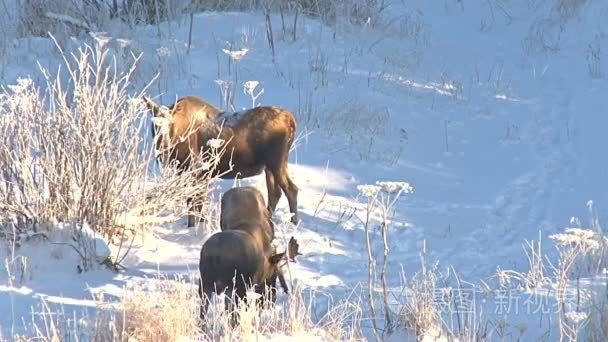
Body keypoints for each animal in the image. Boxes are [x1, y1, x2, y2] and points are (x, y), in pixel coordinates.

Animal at [138, 95, 300, 227]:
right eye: (154, 125)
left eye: (170, 124)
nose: (163, 146)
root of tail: (291, 120)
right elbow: (197, 202)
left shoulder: (196, 171)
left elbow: (194, 202)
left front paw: (193, 226)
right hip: (269, 166)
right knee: (275, 192)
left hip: (277, 161)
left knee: (291, 189)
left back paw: (294, 222)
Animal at [197, 187, 288, 324]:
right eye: (274, 274)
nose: (272, 299)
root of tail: (215, 256)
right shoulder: (245, 285)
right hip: (232, 284)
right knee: (231, 313)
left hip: (206, 283)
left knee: (203, 313)